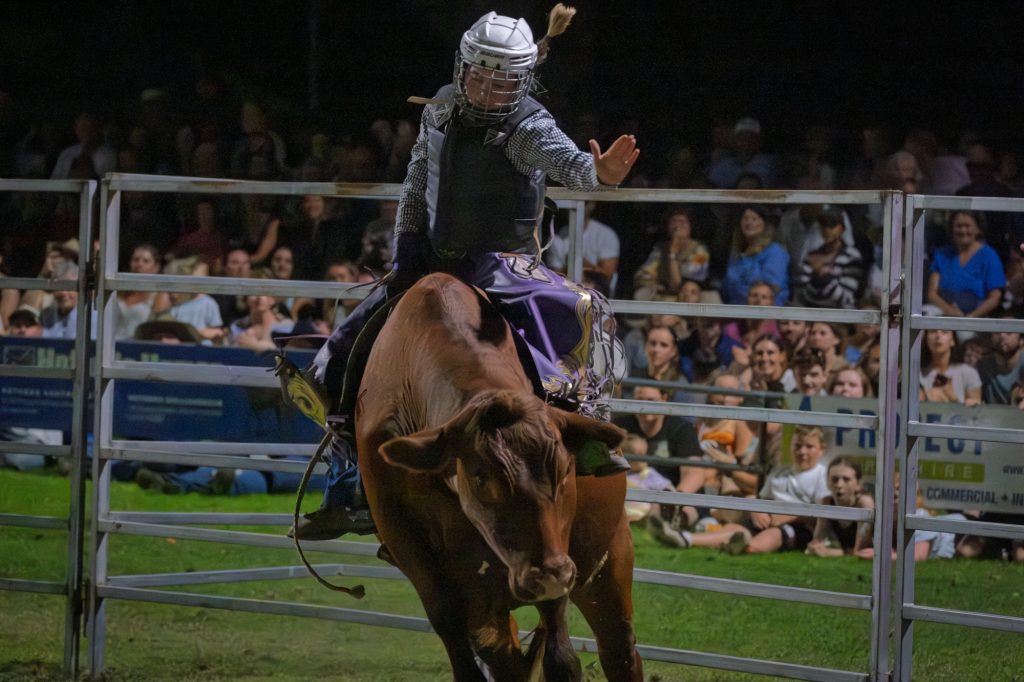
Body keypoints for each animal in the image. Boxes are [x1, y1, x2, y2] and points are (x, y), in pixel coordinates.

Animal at [355, 272, 643, 681]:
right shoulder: (408, 543)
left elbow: (561, 655)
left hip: (609, 561)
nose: (547, 574)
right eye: (480, 476)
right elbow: (452, 628)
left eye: (565, 471)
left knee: (619, 649)